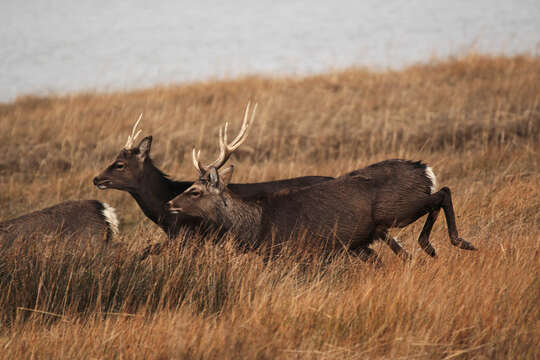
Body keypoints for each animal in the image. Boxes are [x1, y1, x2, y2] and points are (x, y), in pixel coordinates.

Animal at [169, 107, 476, 264]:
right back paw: (432, 248)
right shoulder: (354, 246)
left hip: (398, 207)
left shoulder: (296, 252)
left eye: (194, 191)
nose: (170, 203)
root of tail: (424, 170)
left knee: (443, 194)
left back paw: (452, 243)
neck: (257, 225)